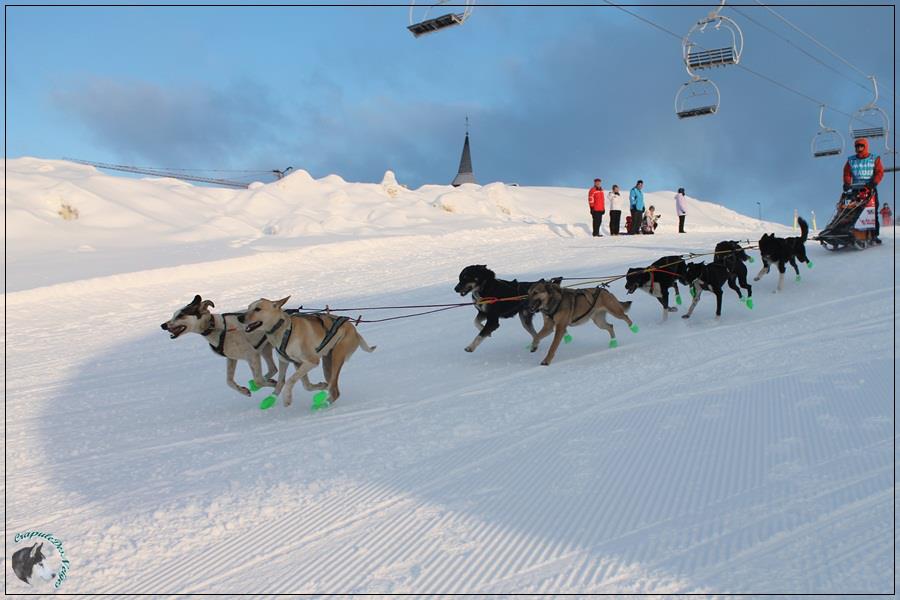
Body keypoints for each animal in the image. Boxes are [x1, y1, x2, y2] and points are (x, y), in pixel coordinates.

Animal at [237, 298, 374, 410]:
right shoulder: (288, 362)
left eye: (257, 309)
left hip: (337, 357)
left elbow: (290, 380)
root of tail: (355, 331)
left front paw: (287, 398)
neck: (283, 329)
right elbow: (296, 384)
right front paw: (271, 398)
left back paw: (322, 404)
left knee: (333, 387)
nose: (240, 317)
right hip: (327, 363)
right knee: (332, 387)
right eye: (248, 307)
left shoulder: (311, 361)